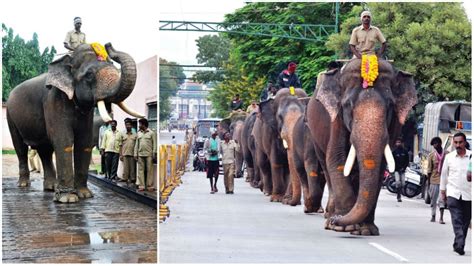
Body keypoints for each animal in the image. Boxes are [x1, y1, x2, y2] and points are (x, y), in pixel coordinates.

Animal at [6, 42, 143, 203]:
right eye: (89, 75)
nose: (108, 44)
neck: (68, 60)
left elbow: (84, 141)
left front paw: (85, 195)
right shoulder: (54, 100)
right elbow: (63, 140)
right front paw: (68, 199)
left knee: (45, 150)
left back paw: (51, 188)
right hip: (10, 116)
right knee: (20, 148)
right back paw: (23, 185)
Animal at [306, 58, 416, 235]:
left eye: (390, 105)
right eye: (348, 105)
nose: (336, 220)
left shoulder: (394, 125)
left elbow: (380, 167)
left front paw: (365, 230)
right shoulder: (336, 119)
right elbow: (336, 159)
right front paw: (343, 226)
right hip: (315, 135)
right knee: (326, 167)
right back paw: (330, 217)